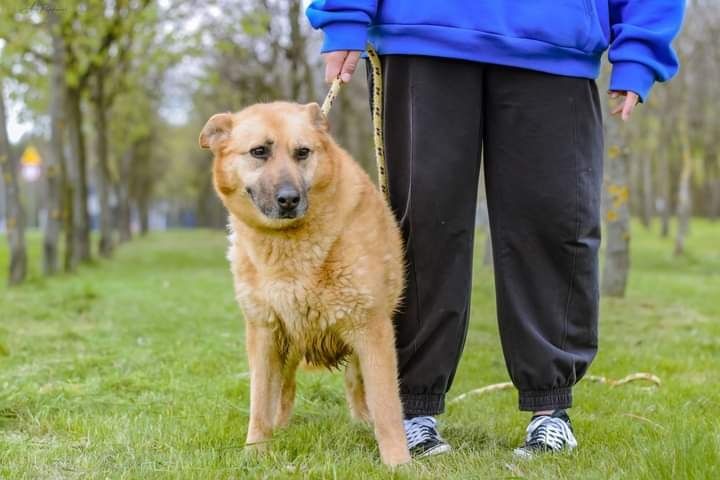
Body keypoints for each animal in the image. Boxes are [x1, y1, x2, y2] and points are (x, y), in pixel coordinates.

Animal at [200, 101, 410, 464]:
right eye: (259, 151)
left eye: (302, 152)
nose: (289, 199)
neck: (289, 251)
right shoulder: (265, 334)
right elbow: (259, 404)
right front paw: (255, 453)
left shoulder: (372, 330)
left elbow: (386, 406)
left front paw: (398, 463)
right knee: (285, 391)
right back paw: (282, 426)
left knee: (356, 384)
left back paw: (361, 422)